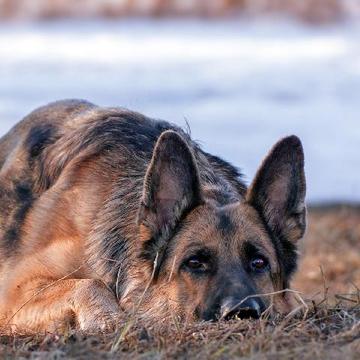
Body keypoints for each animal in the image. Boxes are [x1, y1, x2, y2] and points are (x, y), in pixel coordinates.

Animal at [0, 99, 306, 332]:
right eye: (194, 263)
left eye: (259, 263)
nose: (242, 313)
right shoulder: (14, 292)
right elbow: (89, 284)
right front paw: (111, 320)